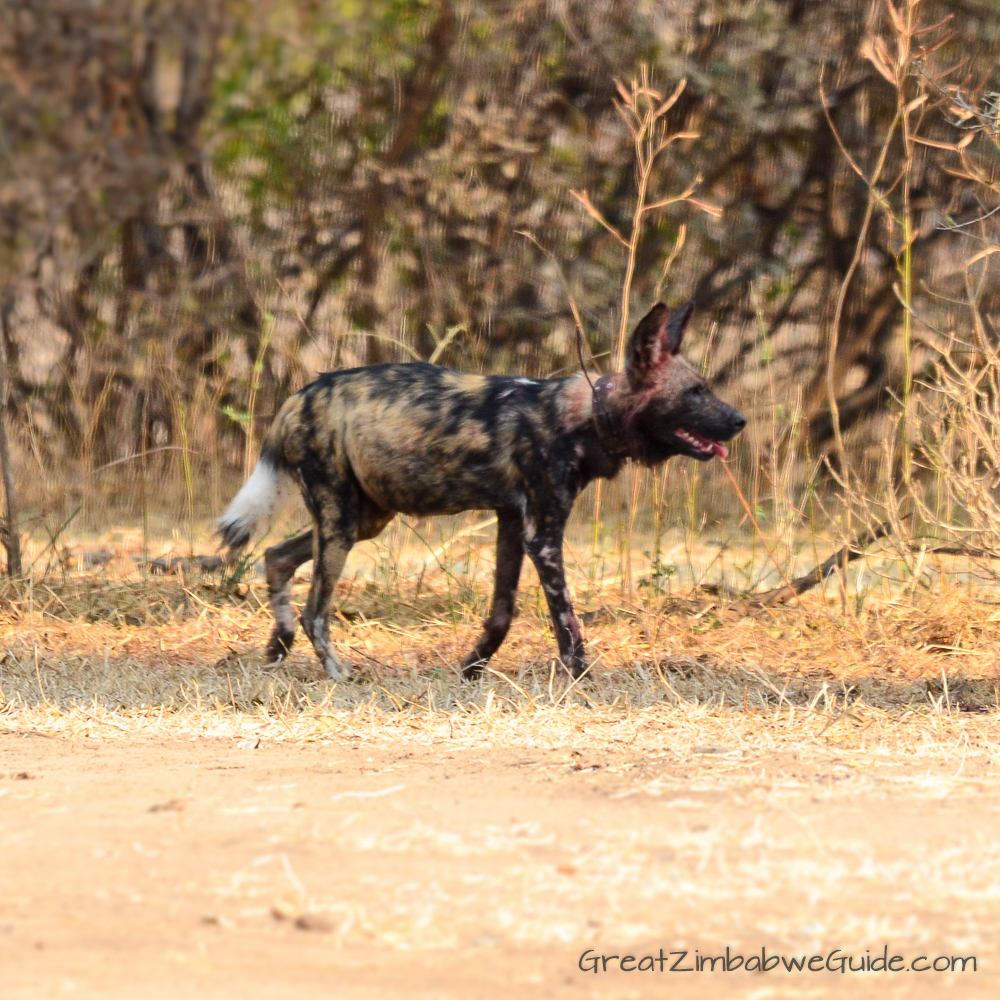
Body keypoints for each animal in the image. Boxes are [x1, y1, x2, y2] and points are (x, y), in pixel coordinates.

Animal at [221, 300, 752, 684]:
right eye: (695, 393)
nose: (740, 420)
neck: (588, 417)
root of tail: (300, 395)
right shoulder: (544, 537)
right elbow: (568, 624)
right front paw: (582, 681)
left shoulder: (513, 523)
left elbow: (501, 613)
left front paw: (471, 669)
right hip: (341, 522)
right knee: (316, 610)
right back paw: (336, 673)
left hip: (363, 519)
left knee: (275, 557)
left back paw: (277, 648)